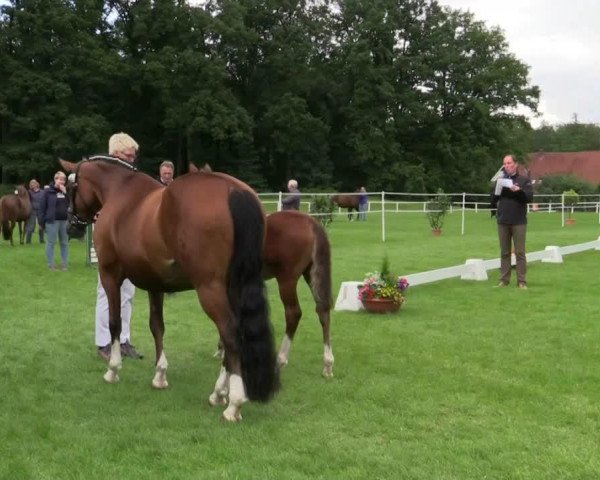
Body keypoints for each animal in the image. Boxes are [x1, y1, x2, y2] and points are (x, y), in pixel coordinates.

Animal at [58, 157, 278, 420]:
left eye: (70, 187)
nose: (72, 226)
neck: (120, 193)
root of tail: (234, 190)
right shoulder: (155, 284)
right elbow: (157, 326)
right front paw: (160, 375)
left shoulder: (110, 275)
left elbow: (115, 322)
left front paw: (113, 369)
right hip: (234, 287)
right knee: (230, 338)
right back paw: (219, 393)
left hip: (210, 289)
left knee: (231, 335)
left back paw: (233, 402)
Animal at [190, 163, 336, 376]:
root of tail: (312, 223)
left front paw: (223, 349)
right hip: (310, 274)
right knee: (323, 309)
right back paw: (327, 364)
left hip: (287, 279)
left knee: (294, 313)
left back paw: (281, 359)